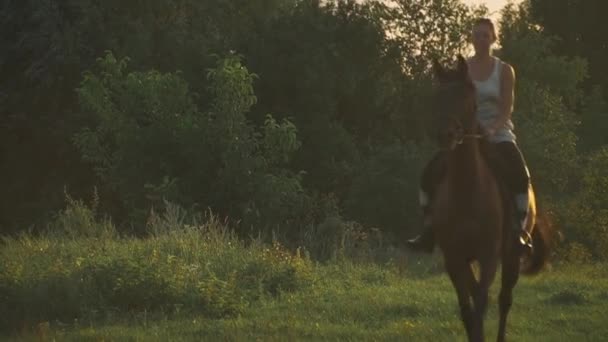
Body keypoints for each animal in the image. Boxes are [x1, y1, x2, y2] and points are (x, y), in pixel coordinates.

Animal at [428, 56, 556, 342]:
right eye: (437, 97)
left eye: (466, 98)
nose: (445, 136)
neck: (467, 190)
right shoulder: (454, 257)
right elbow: (468, 310)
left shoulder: (489, 256)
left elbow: (482, 304)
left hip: (511, 256)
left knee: (504, 300)